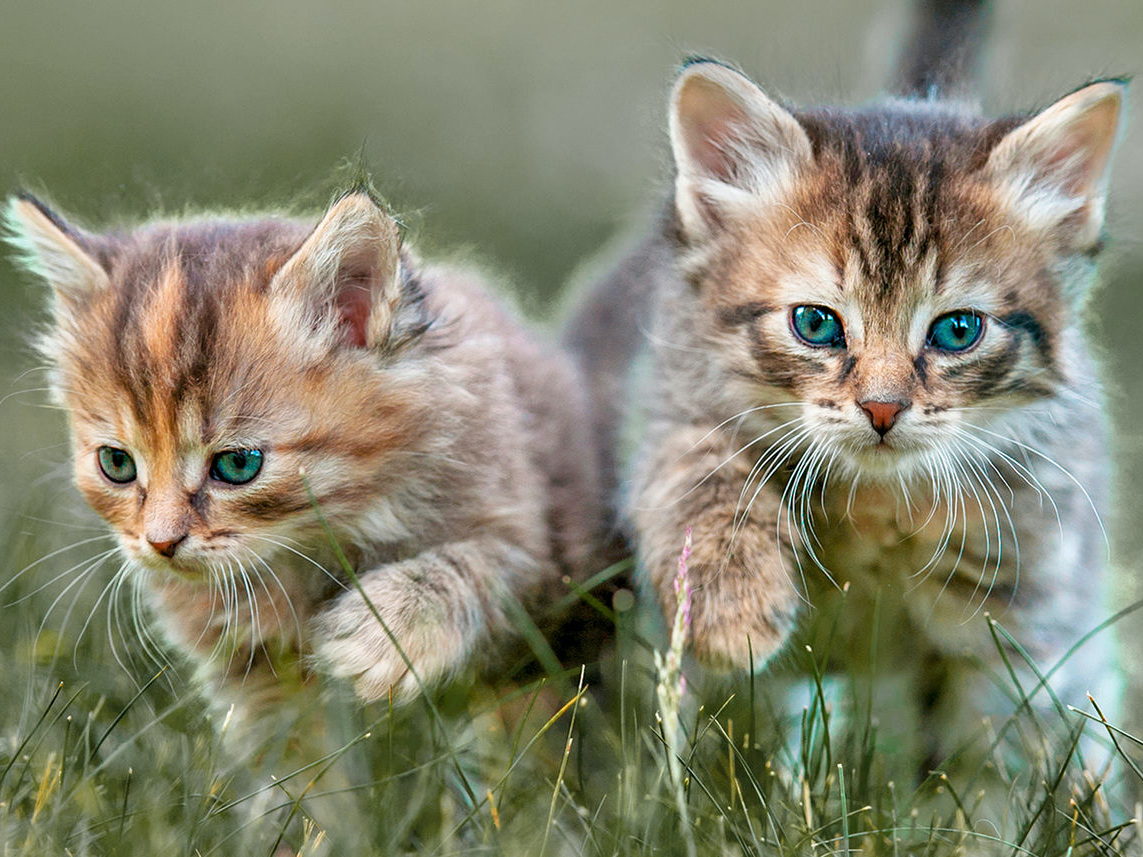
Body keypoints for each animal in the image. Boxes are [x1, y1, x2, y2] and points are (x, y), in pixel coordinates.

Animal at [6, 189, 608, 726]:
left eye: (238, 466)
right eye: (117, 464)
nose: (160, 543)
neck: (319, 541)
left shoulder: (543, 552)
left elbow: (474, 567)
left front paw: (382, 632)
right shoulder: (254, 673)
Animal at [566, 5, 1120, 758]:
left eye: (957, 331)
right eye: (815, 323)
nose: (882, 409)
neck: (879, 506)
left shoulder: (1027, 609)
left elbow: (999, 754)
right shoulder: (675, 392)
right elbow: (694, 472)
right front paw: (732, 605)